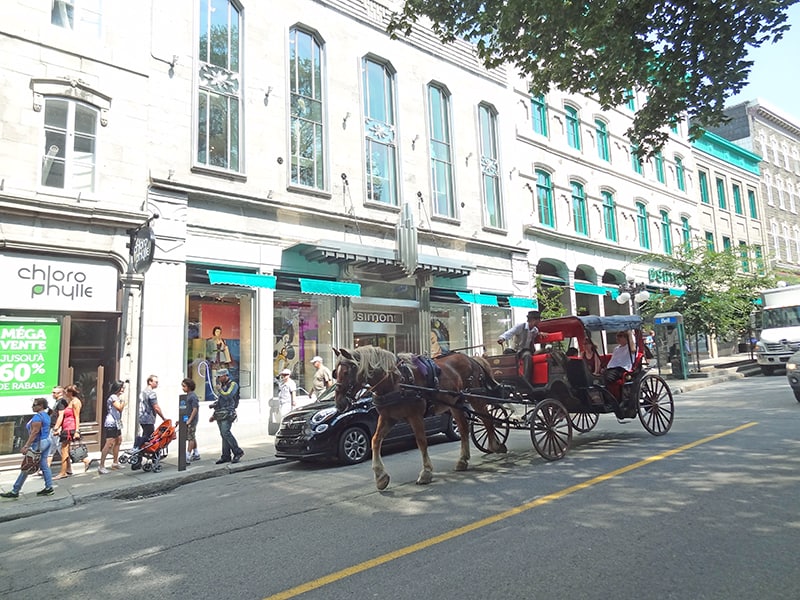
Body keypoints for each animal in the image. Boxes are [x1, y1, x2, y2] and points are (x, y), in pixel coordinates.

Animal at [332, 344, 506, 490]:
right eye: (335, 374)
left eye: (346, 372)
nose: (339, 403)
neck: (394, 382)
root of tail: (472, 359)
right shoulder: (388, 418)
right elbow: (375, 441)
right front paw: (381, 477)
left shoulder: (415, 416)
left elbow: (421, 441)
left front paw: (426, 473)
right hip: (455, 403)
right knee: (464, 429)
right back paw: (463, 460)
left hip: (476, 397)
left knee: (487, 420)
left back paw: (495, 445)